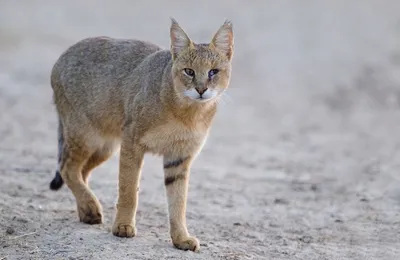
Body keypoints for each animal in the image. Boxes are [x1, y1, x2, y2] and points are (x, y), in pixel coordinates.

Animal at [48, 18, 233, 252]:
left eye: (213, 72)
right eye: (189, 72)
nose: (201, 89)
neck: (187, 114)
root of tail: (65, 53)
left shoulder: (179, 158)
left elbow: (178, 202)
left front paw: (181, 237)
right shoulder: (132, 143)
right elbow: (128, 189)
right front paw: (123, 226)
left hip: (105, 147)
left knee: (81, 171)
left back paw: (87, 210)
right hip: (86, 137)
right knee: (67, 168)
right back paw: (90, 207)